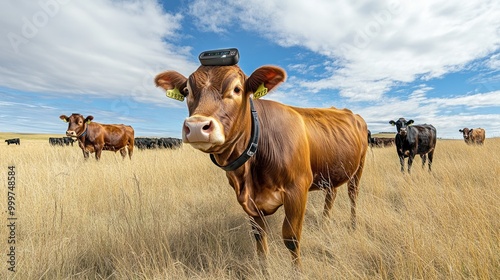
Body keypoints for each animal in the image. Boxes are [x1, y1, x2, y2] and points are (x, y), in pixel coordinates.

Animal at [154, 64, 370, 268]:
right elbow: (259, 237)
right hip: (330, 172)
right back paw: (325, 224)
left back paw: (352, 225)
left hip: (359, 167)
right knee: (331, 195)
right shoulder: (250, 202)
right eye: (187, 91)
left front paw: (297, 271)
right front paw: (264, 269)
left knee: (353, 195)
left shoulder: (297, 190)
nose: (197, 127)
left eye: (237, 89)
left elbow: (291, 238)